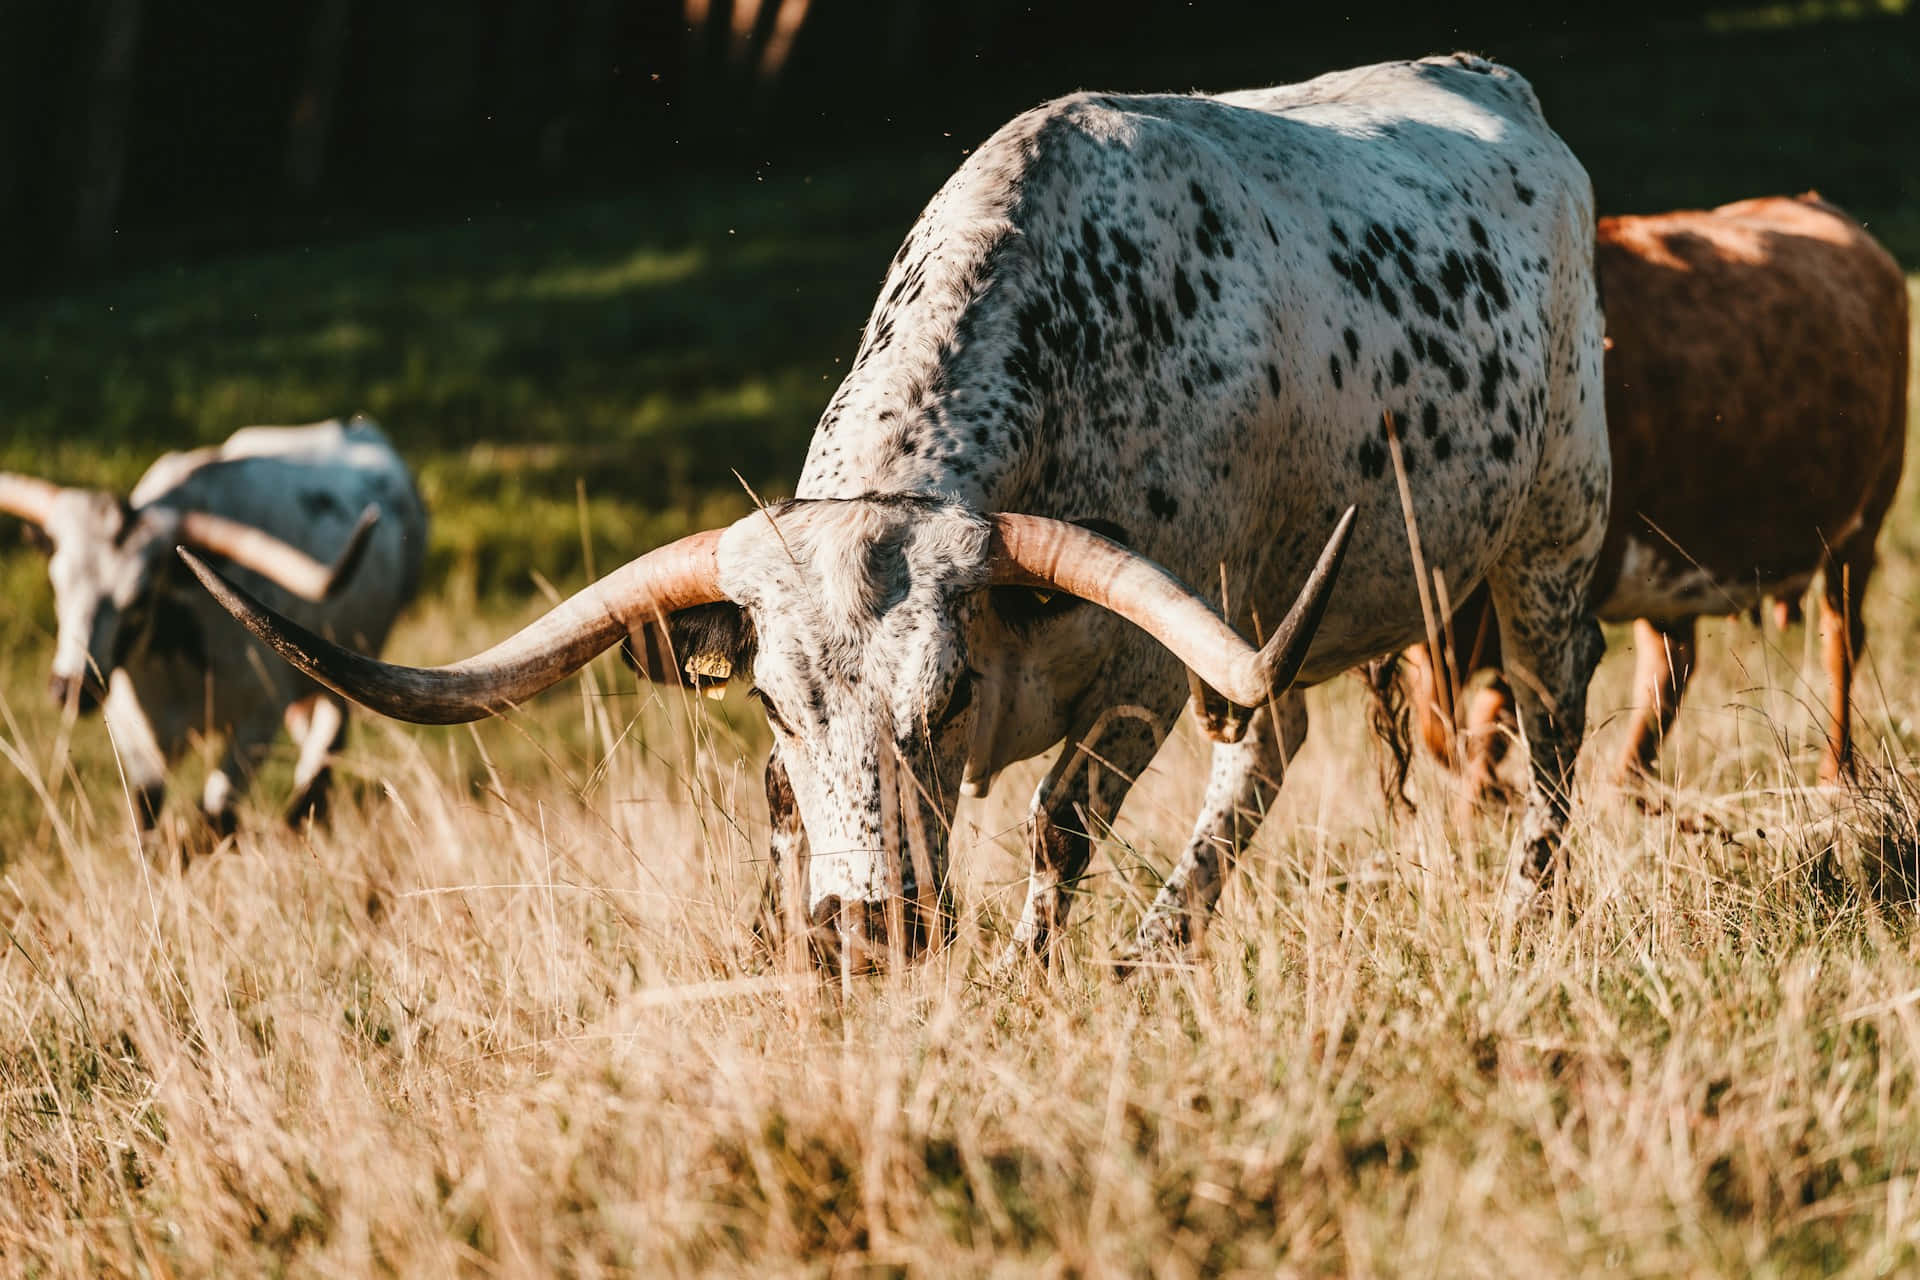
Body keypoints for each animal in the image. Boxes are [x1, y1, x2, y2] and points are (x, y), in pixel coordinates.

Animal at [0, 420, 428, 832]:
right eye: (57, 583)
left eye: (140, 596)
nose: (72, 688)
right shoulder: (134, 738)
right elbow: (148, 825)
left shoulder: (256, 723)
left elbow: (212, 822)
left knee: (325, 745)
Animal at [191, 50, 1605, 971]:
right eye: (770, 700)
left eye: (949, 694)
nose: (868, 936)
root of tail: (1494, 82)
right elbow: (782, 825)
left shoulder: (1140, 675)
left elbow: (1056, 827)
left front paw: (1029, 980)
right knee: (1272, 738)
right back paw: (1163, 944)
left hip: (1551, 535)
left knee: (1548, 722)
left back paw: (1522, 921)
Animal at [1382, 192, 1904, 802]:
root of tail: (1810, 203)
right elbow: (1448, 730)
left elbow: (1492, 721)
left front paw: (1492, 793)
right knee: (1670, 666)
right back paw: (1627, 786)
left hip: (1863, 523)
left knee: (1840, 642)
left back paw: (1834, 775)